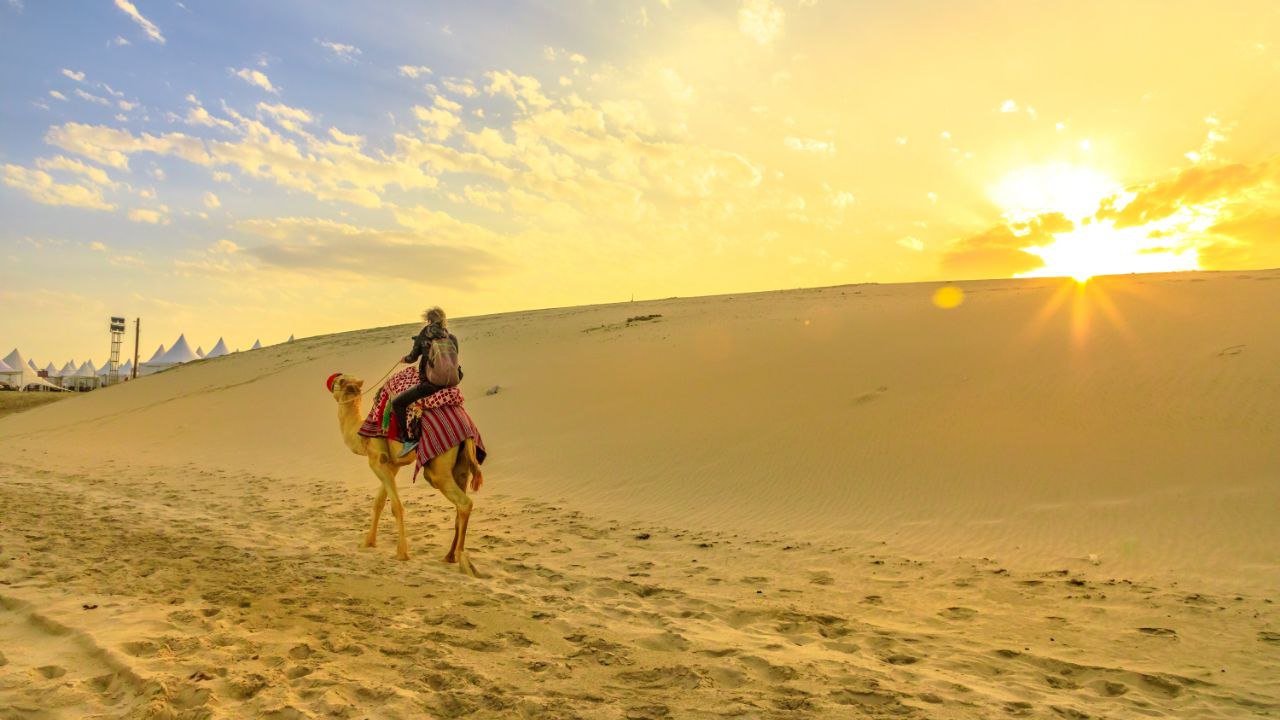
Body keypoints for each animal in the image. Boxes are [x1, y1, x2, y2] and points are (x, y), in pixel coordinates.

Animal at [330, 371, 483, 573]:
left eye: (339, 380)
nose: (330, 382)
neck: (360, 434)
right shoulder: (392, 465)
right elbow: (379, 503)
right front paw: (367, 543)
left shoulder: (377, 461)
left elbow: (396, 506)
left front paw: (401, 553)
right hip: (461, 466)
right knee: (460, 504)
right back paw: (449, 556)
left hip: (438, 468)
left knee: (464, 502)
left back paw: (462, 560)